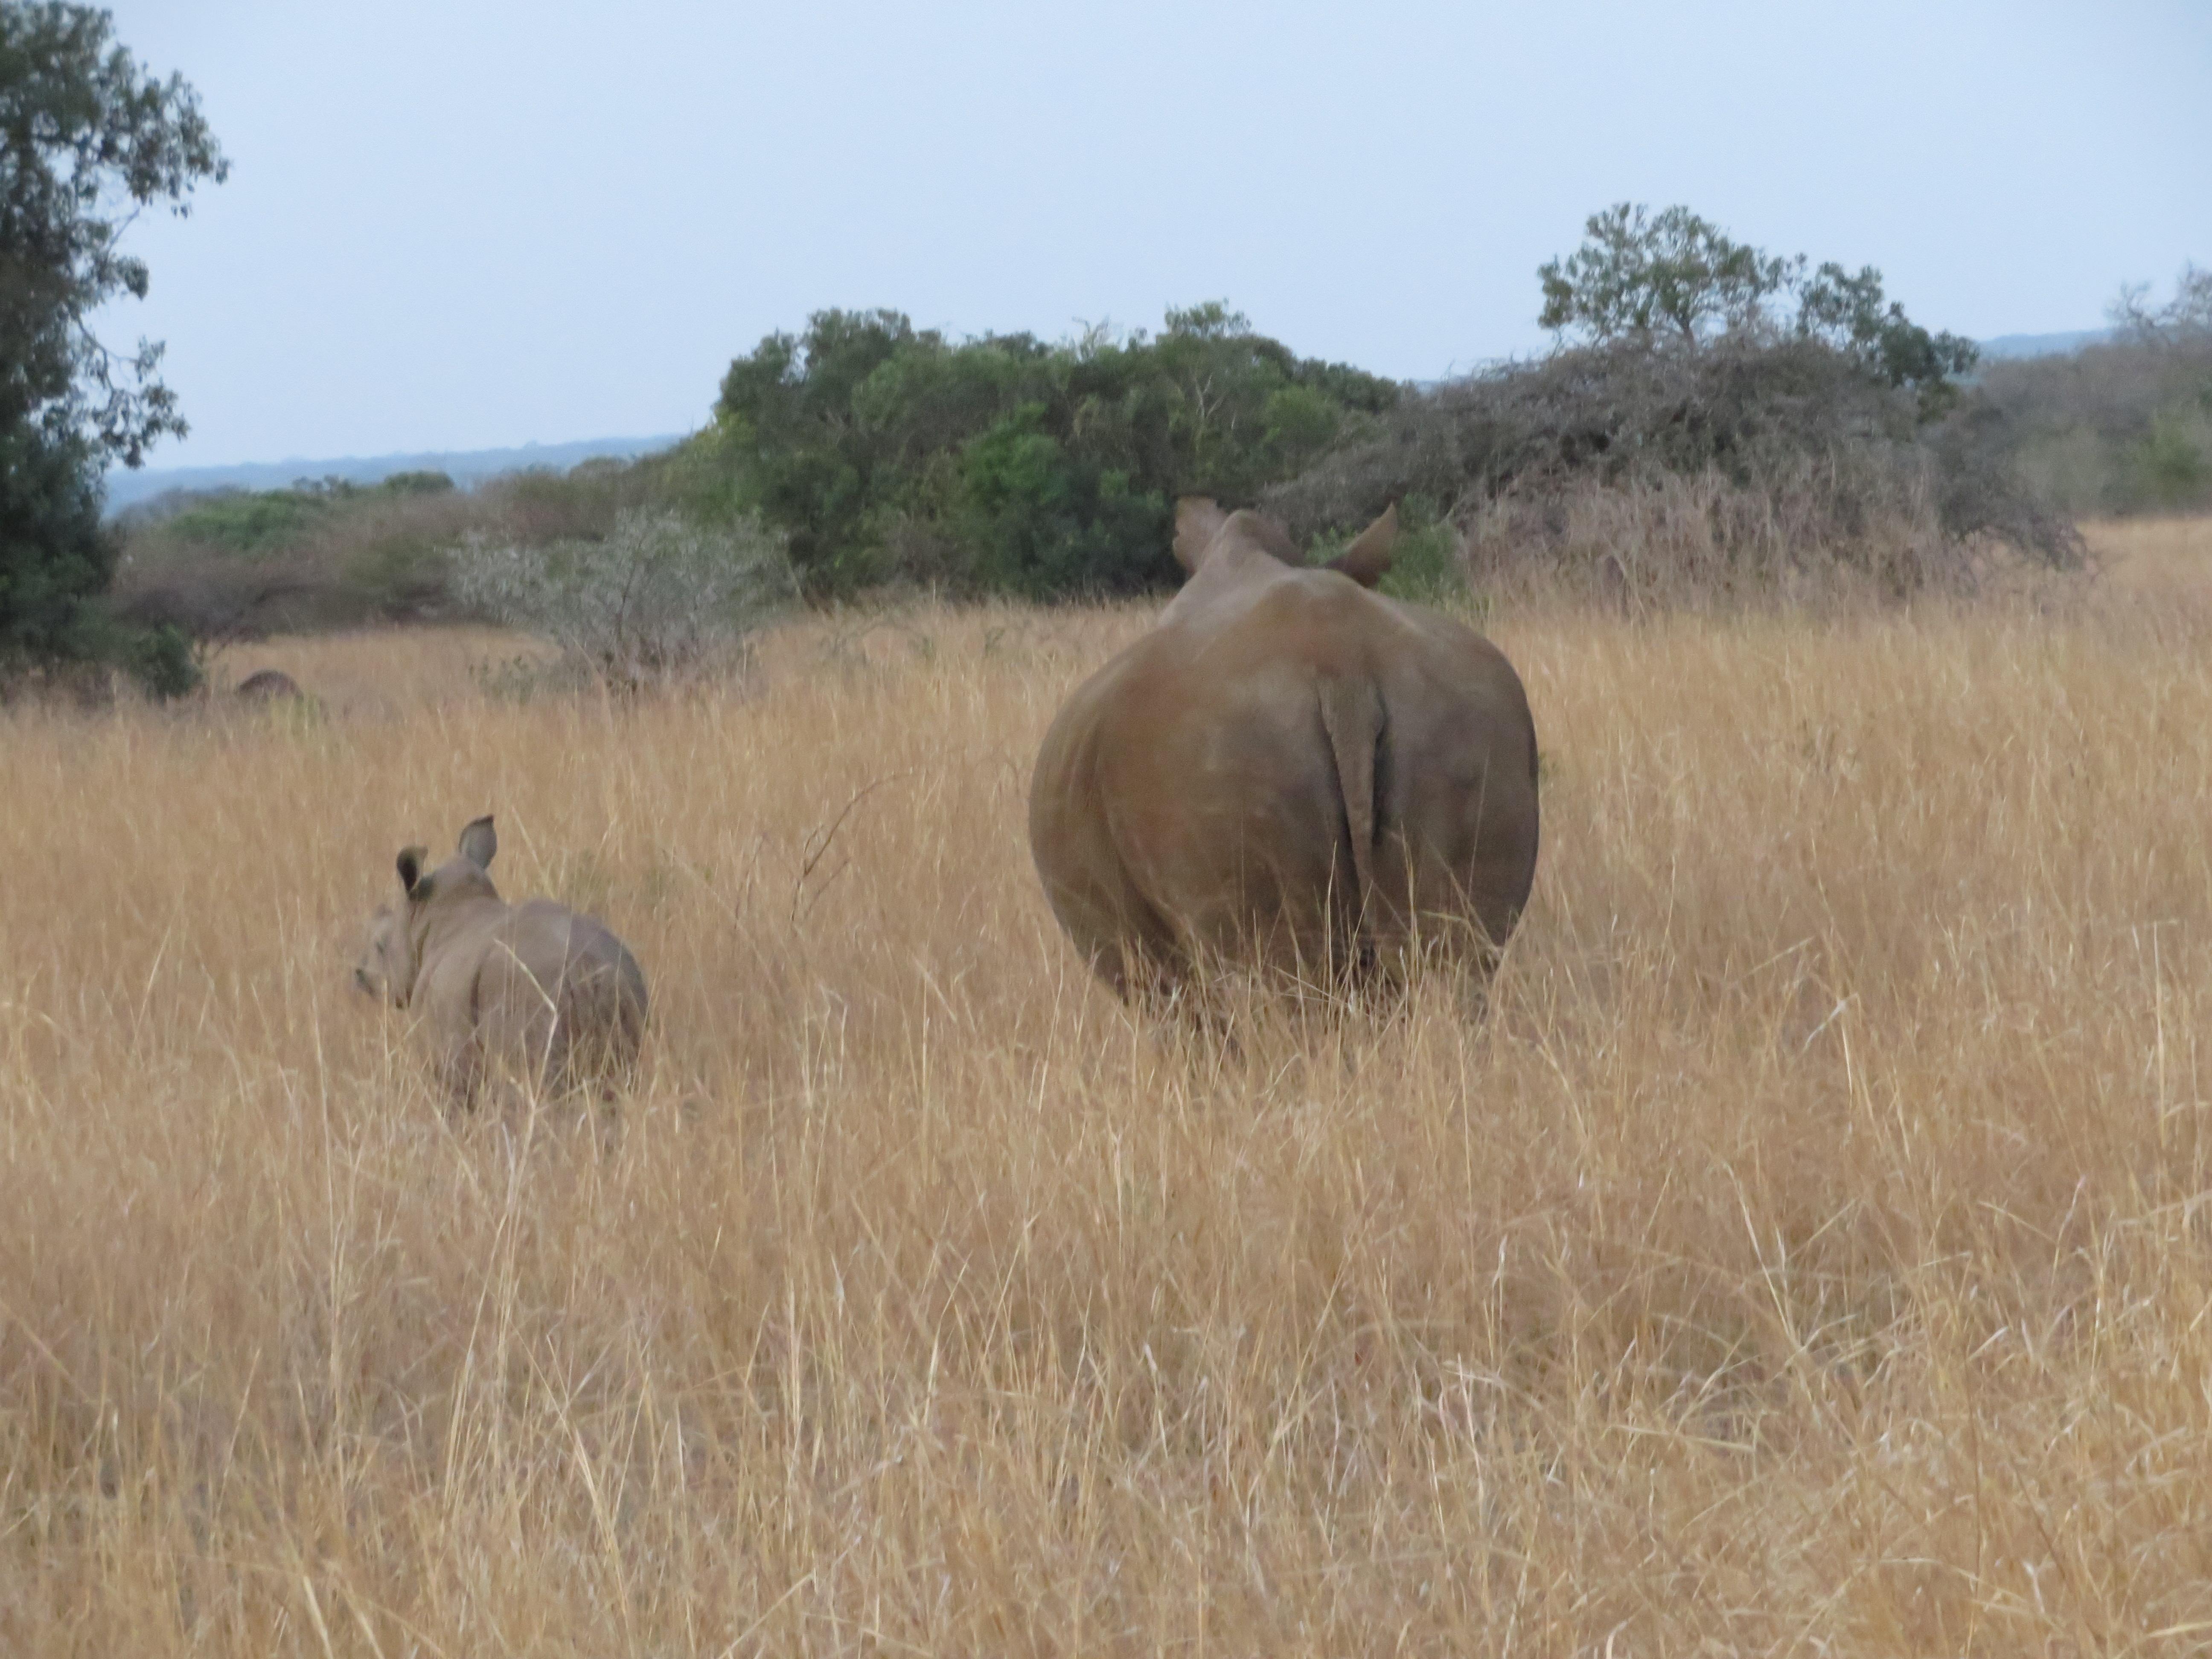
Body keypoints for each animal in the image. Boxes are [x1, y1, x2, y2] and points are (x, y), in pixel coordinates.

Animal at [354, 815, 648, 1105]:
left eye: (380, 946)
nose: (359, 974)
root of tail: (585, 968)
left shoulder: (446, 1056)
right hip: (624, 982)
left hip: (528, 997)